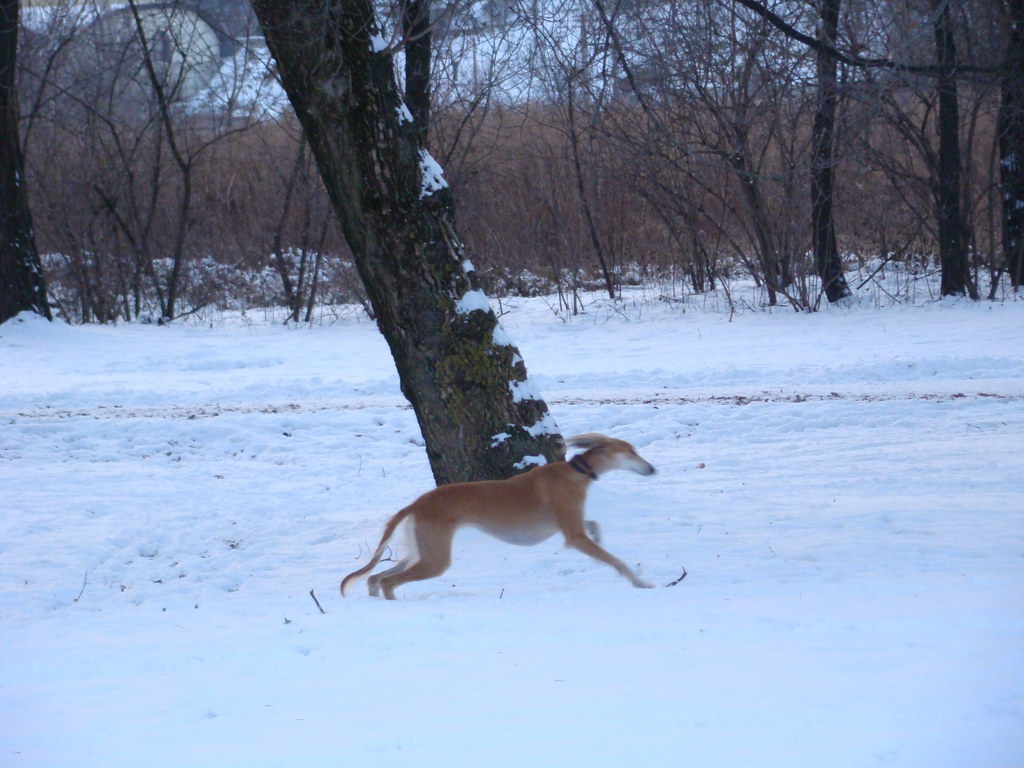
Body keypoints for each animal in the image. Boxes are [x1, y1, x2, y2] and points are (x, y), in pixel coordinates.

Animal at [337, 434, 655, 602]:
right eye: (631, 451)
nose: (653, 469)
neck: (575, 472)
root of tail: (416, 503)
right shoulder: (573, 535)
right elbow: (615, 559)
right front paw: (641, 583)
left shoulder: (570, 527)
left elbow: (592, 525)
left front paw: (600, 534)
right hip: (435, 559)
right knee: (389, 581)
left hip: (419, 551)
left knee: (376, 576)